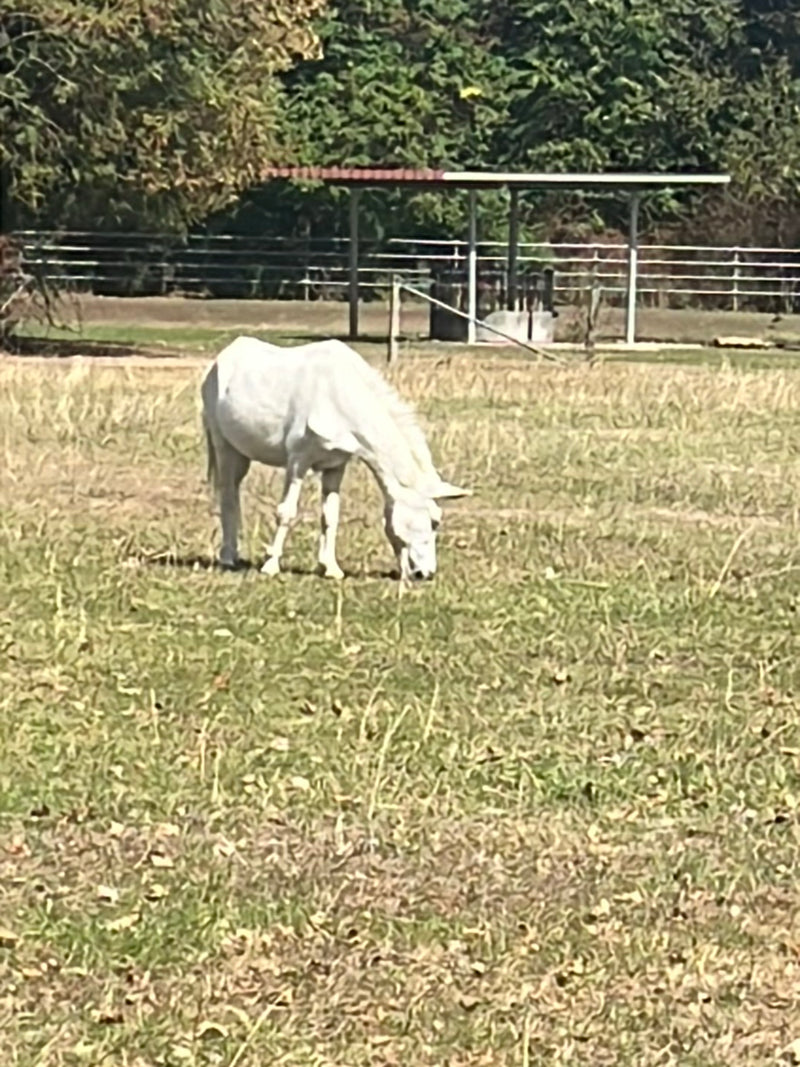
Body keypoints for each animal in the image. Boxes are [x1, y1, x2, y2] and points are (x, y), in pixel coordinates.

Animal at [200, 335, 470, 581]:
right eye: (431, 521)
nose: (425, 574)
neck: (337, 395)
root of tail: (224, 356)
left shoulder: (335, 466)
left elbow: (330, 515)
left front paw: (330, 568)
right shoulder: (298, 462)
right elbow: (287, 512)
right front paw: (271, 564)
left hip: (241, 454)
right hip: (224, 446)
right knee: (228, 495)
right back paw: (228, 557)